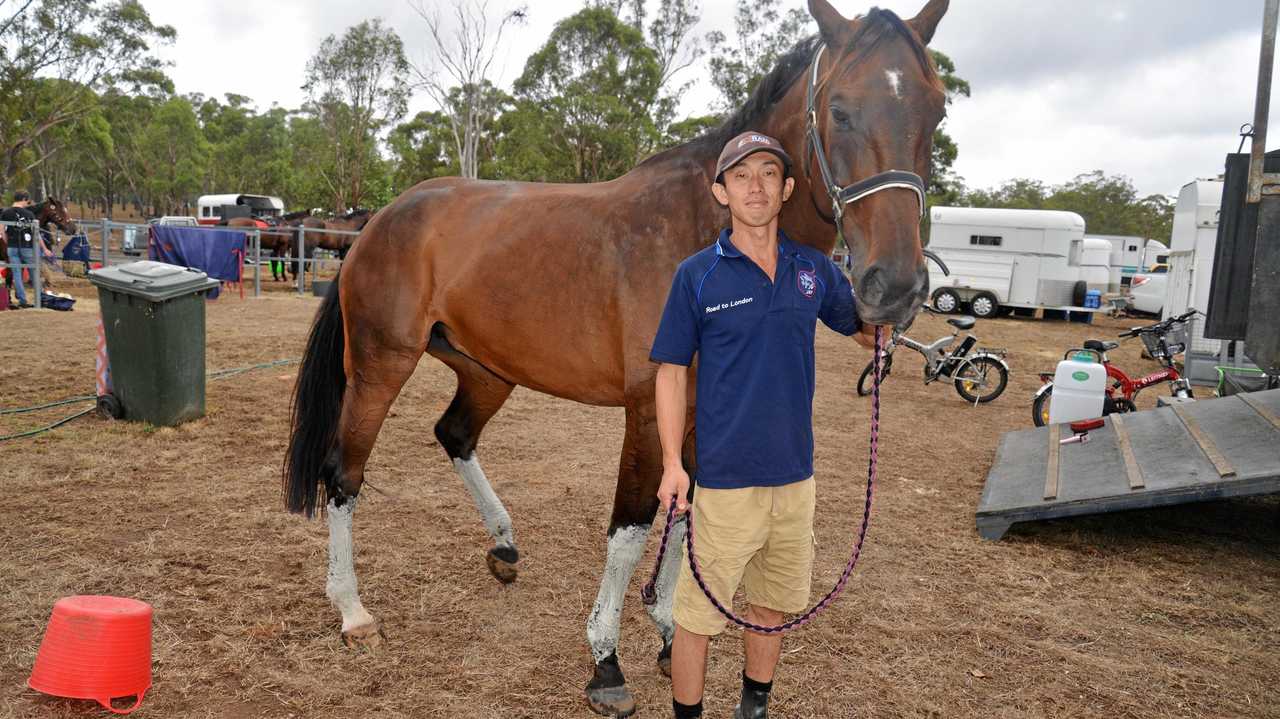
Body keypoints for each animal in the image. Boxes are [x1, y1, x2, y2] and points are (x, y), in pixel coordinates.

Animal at [285, 2, 957, 711]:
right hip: (381, 367)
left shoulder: (701, 419)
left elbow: (687, 519)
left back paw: (504, 545)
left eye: (937, 111)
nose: (896, 286)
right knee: (343, 472)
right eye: (840, 111)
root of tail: (382, 218)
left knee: (454, 433)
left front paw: (668, 631)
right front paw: (606, 661)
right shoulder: (648, 412)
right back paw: (353, 611)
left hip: (488, 370)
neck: (706, 232)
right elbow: (632, 531)